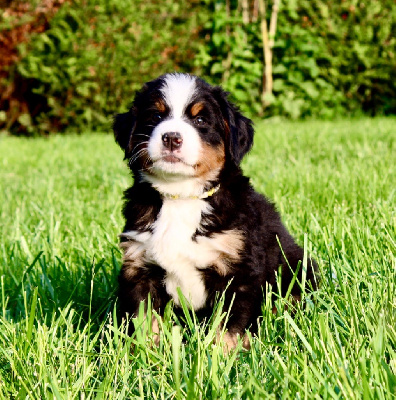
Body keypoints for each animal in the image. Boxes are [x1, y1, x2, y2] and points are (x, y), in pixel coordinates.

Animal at [113, 73, 318, 352]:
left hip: (298, 266)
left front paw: (222, 356)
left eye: (200, 120)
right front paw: (143, 355)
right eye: (155, 116)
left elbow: (228, 326)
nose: (171, 137)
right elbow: (143, 323)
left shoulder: (238, 271)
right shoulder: (139, 266)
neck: (181, 196)